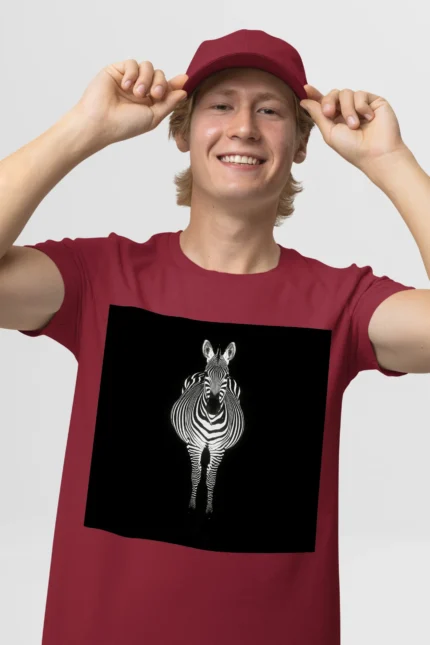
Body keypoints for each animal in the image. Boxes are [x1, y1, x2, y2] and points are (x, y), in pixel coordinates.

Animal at [170, 339, 245, 516]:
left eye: (226, 376)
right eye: (206, 375)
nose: (212, 408)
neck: (211, 420)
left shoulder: (218, 449)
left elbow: (211, 478)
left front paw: (209, 507)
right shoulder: (195, 445)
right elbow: (196, 474)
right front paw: (192, 504)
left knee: (209, 469)